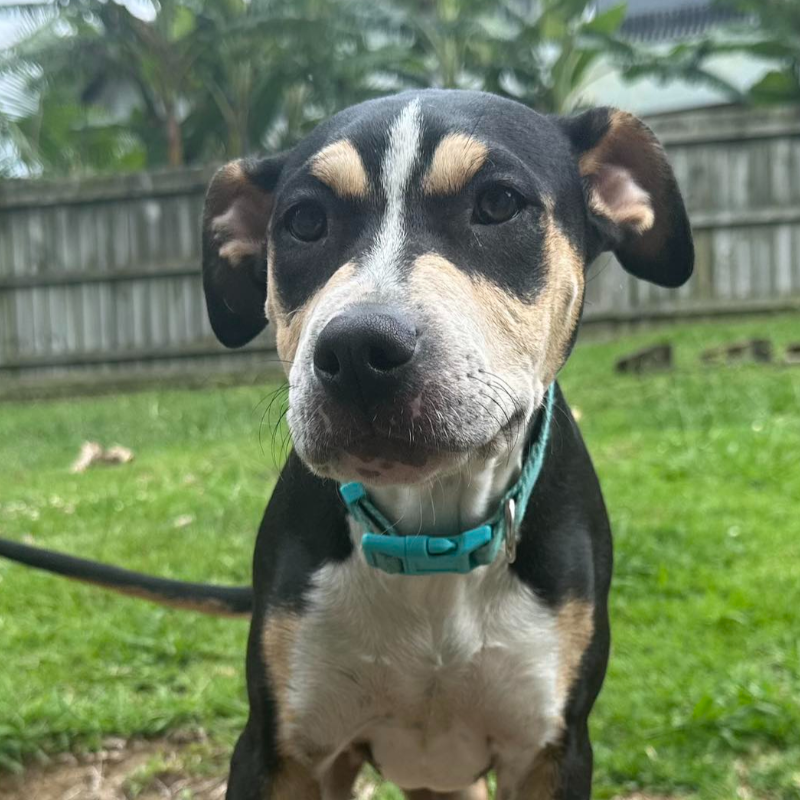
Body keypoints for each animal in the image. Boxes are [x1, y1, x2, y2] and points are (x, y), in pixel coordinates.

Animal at [0, 89, 693, 799]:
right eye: (305, 221)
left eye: (499, 203)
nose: (358, 350)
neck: (428, 542)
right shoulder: (281, 750)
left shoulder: (551, 751)